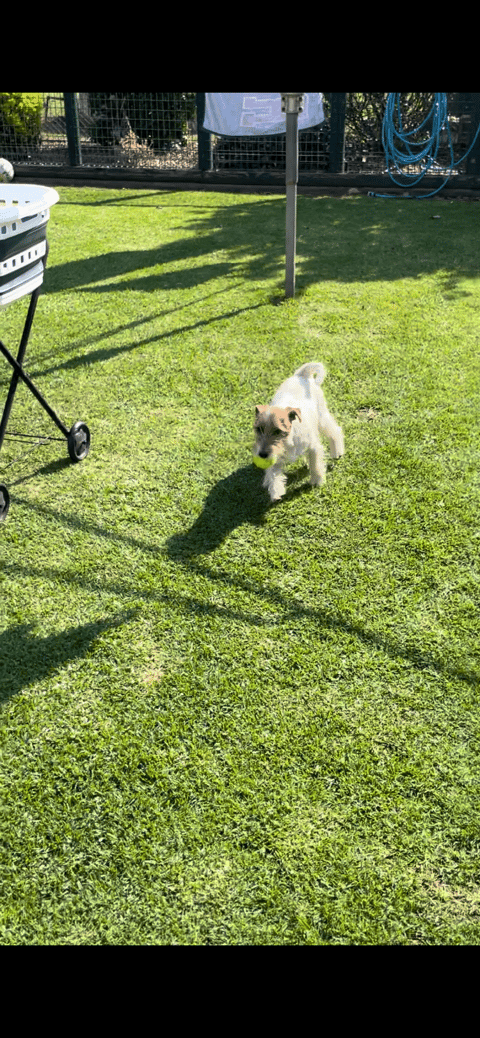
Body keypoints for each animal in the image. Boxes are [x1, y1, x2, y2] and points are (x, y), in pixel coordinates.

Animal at [253, 363, 342, 500]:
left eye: (278, 431)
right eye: (258, 429)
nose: (262, 454)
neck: (289, 440)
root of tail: (301, 375)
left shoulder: (313, 447)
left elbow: (316, 464)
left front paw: (317, 481)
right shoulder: (276, 457)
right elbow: (273, 474)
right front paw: (276, 491)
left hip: (322, 417)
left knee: (335, 431)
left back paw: (337, 451)